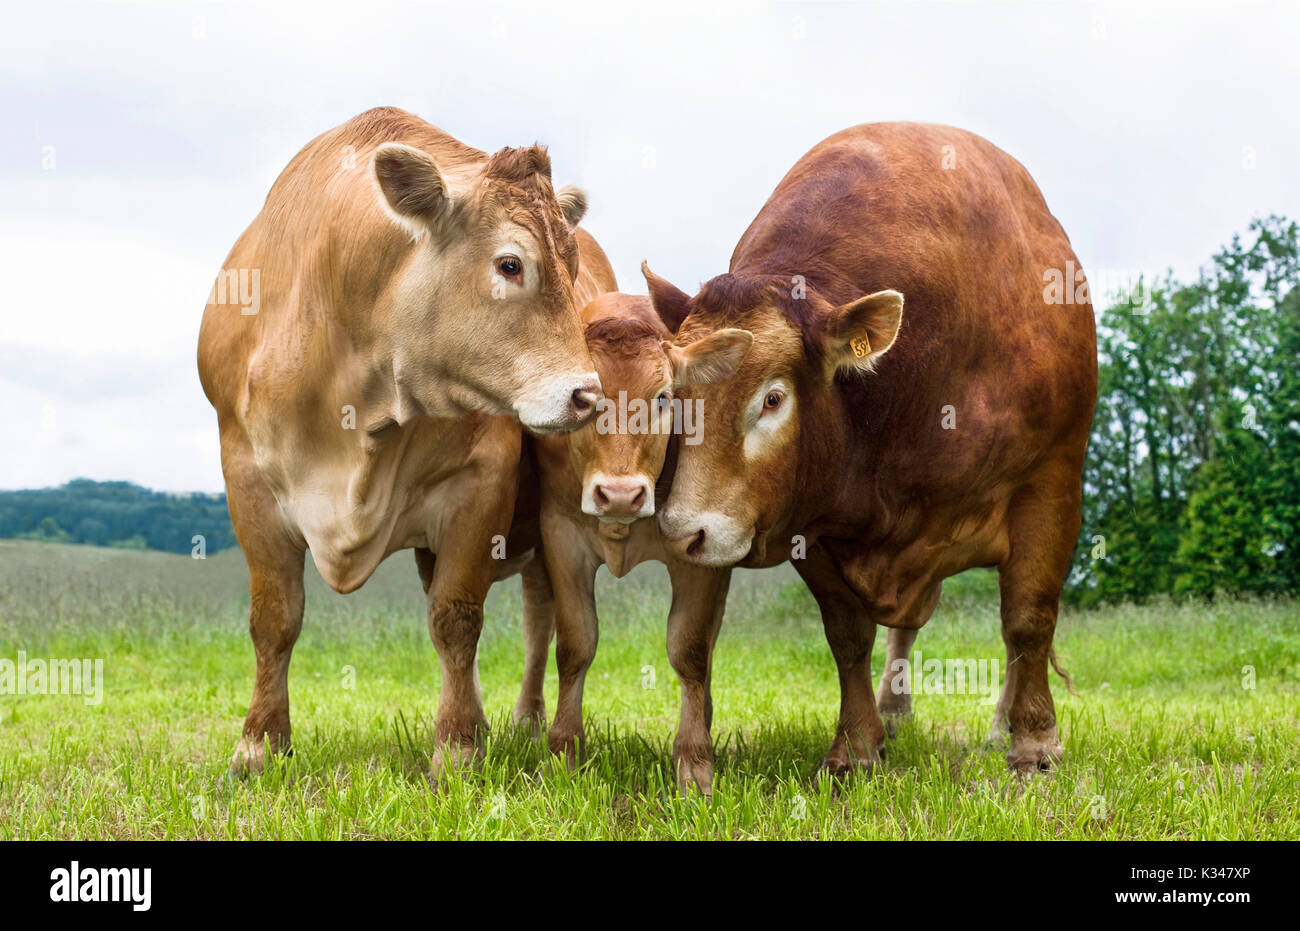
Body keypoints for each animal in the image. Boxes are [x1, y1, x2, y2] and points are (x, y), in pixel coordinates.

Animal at [197, 107, 606, 778]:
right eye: (510, 264)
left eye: (572, 272)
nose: (587, 397)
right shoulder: (246, 478)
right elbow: (275, 618)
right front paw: (259, 745)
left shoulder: (482, 482)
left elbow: (455, 618)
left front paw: (458, 748)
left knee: (538, 616)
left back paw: (524, 720)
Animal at [500, 291, 738, 795]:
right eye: (586, 401)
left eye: (664, 397)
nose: (622, 494)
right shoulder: (561, 535)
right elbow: (574, 645)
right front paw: (562, 753)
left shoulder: (697, 556)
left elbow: (690, 651)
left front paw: (695, 764)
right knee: (538, 624)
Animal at [643, 122, 1097, 779]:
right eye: (674, 399)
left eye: (773, 398)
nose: (684, 533)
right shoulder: (813, 522)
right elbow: (848, 635)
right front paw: (857, 744)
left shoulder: (1050, 484)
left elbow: (1029, 620)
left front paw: (1035, 740)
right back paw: (895, 709)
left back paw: (1001, 723)